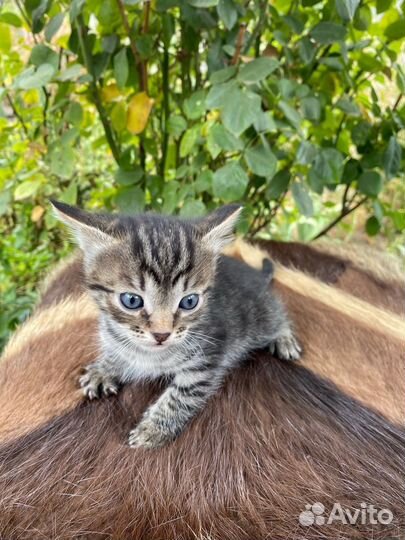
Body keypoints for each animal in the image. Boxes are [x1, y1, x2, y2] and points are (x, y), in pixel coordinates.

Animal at [51, 200, 300, 450]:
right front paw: (105, 368)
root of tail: (256, 276)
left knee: (278, 314)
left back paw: (284, 338)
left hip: (262, 316)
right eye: (131, 300)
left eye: (189, 302)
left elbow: (181, 395)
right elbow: (119, 352)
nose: (162, 334)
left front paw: (154, 427)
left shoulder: (207, 360)